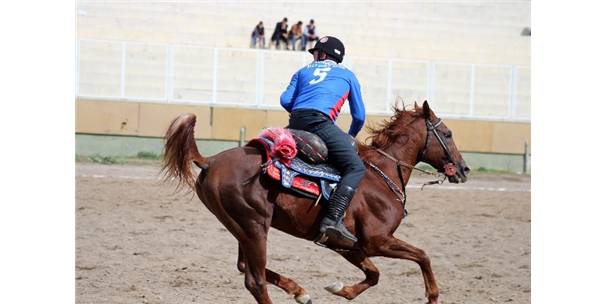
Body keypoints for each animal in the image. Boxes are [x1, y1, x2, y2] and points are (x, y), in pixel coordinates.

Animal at [160, 101, 470, 302]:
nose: (464, 169)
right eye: (447, 134)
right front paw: (432, 295)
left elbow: (374, 274)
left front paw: (341, 290)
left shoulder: (349, 246)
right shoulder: (378, 241)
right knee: (254, 280)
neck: (381, 175)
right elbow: (423, 255)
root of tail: (210, 161)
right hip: (254, 227)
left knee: (244, 267)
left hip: (242, 228)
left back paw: (298, 290)